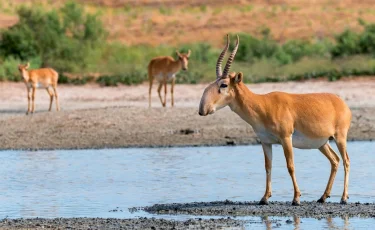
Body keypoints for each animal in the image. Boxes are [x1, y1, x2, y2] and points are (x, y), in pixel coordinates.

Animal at [200, 34, 352, 205]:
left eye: (224, 84)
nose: (203, 109)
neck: (263, 105)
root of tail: (341, 102)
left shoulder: (286, 138)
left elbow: (290, 166)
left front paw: (296, 198)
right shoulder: (266, 142)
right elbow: (268, 166)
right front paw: (264, 197)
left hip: (340, 137)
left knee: (346, 160)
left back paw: (344, 197)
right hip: (322, 143)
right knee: (335, 160)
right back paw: (323, 197)